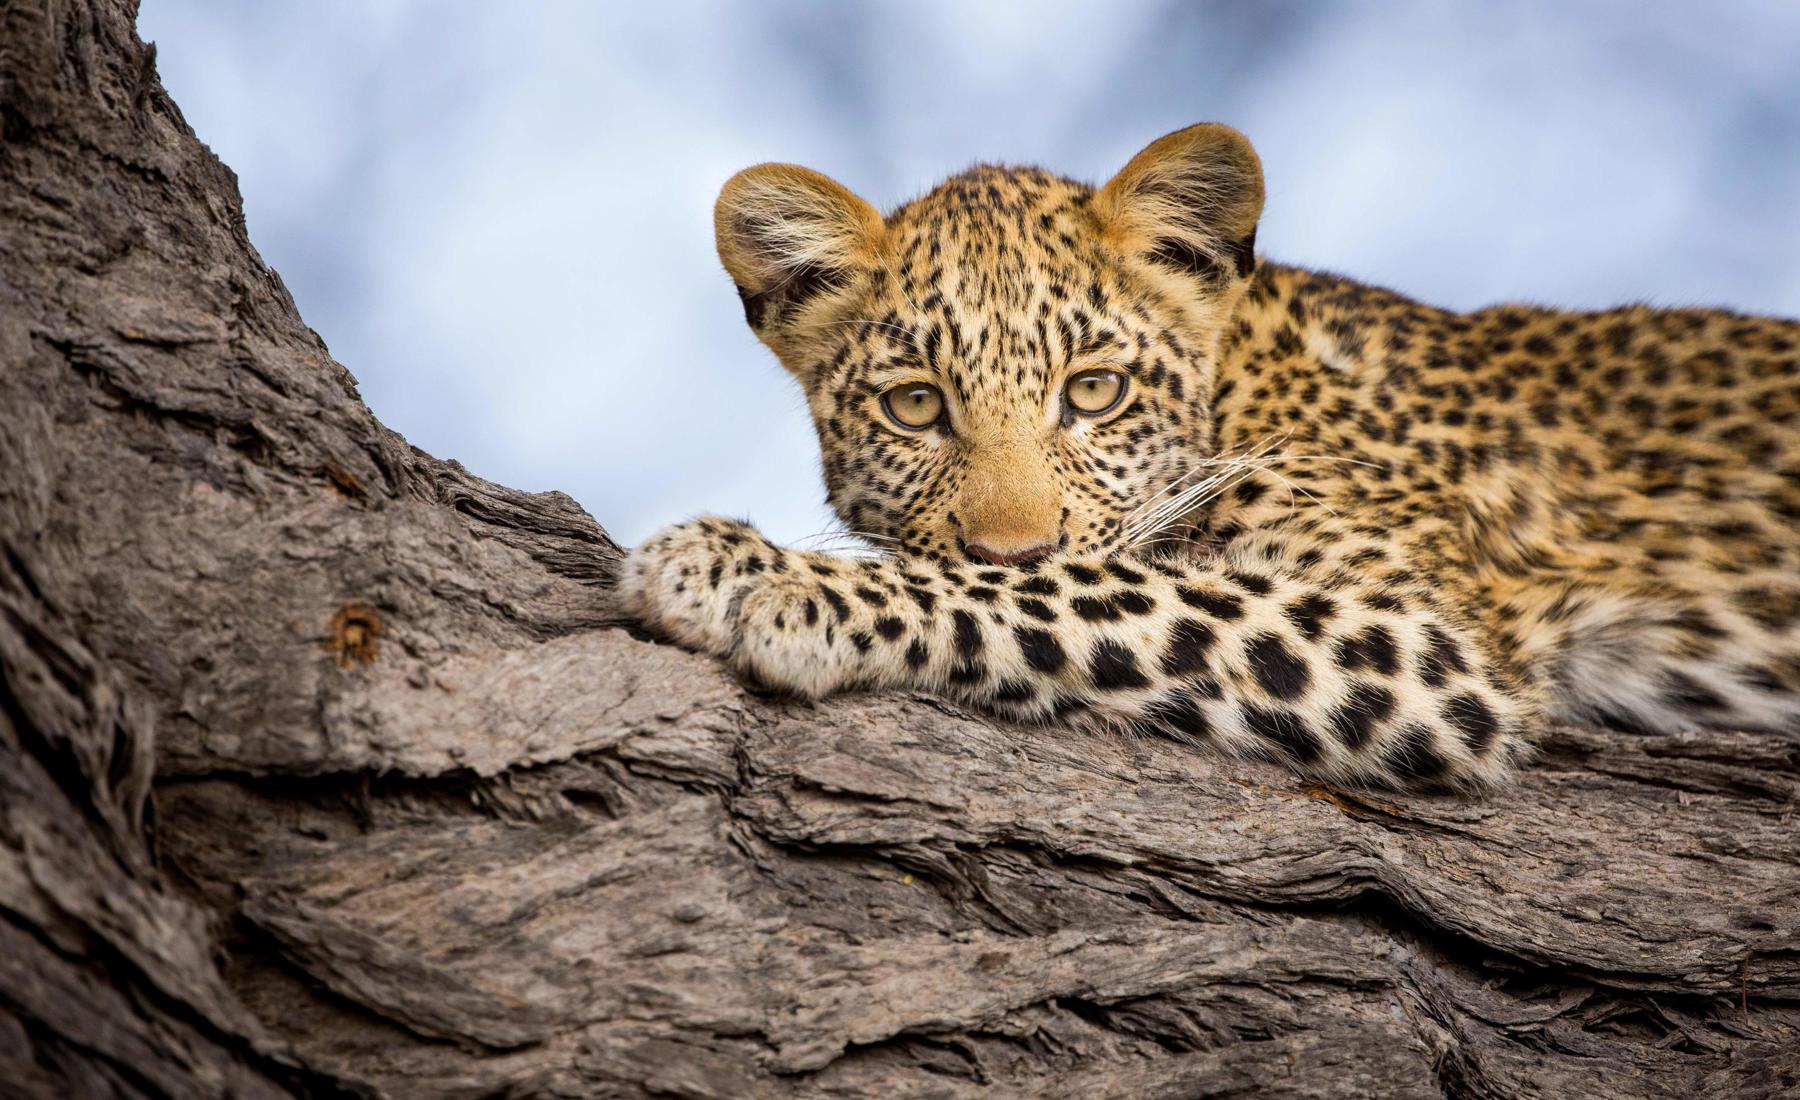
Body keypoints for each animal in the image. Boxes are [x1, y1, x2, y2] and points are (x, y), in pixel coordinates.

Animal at [621, 123, 1800, 791]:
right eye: (917, 406)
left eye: (1092, 392)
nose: (1009, 543)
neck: (1236, 387)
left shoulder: (1431, 642)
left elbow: (1096, 589)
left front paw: (759, 572)